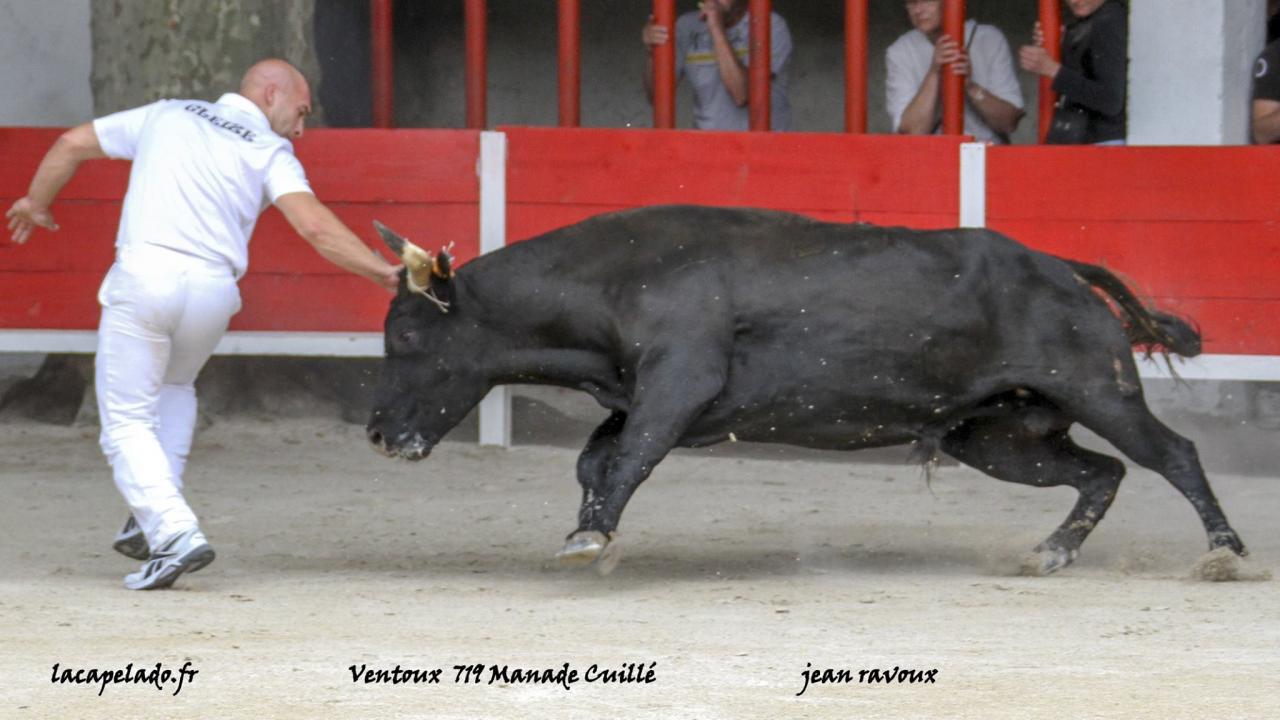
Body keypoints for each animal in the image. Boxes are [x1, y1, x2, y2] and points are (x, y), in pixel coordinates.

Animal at [366, 204, 1244, 573]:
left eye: (405, 336)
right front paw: (592, 530)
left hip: (1100, 390)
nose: (376, 434)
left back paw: (1225, 553)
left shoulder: (678, 385)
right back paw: (1051, 552)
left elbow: (628, 458)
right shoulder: (640, 398)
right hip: (997, 436)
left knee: (1173, 453)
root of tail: (1060, 265)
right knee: (1103, 472)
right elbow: (596, 459)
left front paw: (592, 534)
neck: (610, 280)